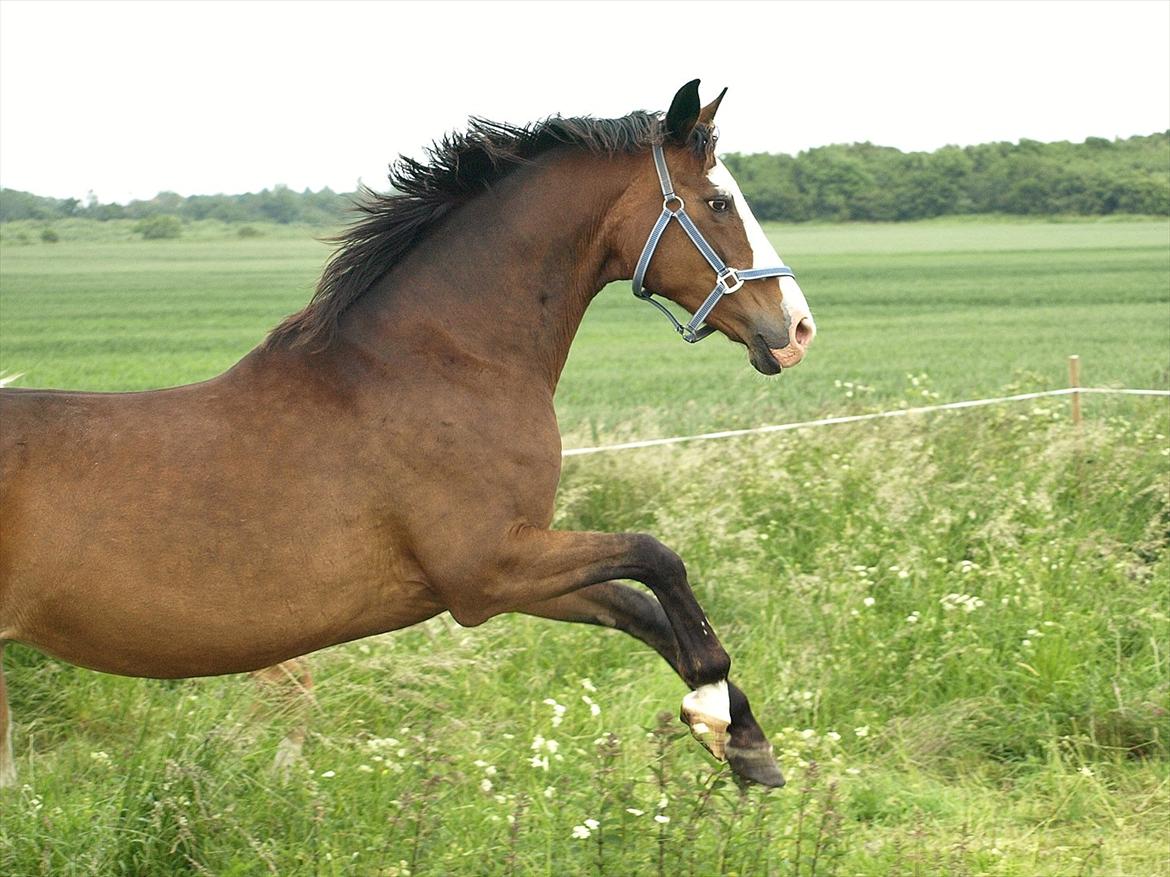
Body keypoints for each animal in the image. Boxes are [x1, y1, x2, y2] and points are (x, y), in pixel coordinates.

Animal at [2, 82, 814, 795]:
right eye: (717, 202)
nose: (797, 328)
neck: (443, 364)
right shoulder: (487, 568)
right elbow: (658, 559)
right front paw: (712, 704)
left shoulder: (509, 570)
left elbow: (640, 609)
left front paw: (745, 743)